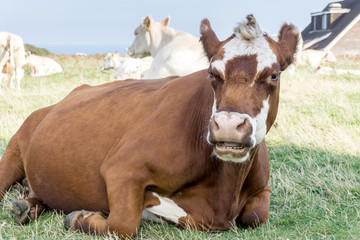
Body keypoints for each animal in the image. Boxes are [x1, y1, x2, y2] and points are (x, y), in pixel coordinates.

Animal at [0, 15, 298, 238]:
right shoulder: (122, 169)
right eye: (212, 73)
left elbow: (256, 215)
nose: (227, 125)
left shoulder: (263, 189)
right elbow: (122, 225)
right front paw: (78, 217)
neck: (225, 189)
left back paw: (26, 204)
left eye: (274, 75)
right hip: (14, 149)